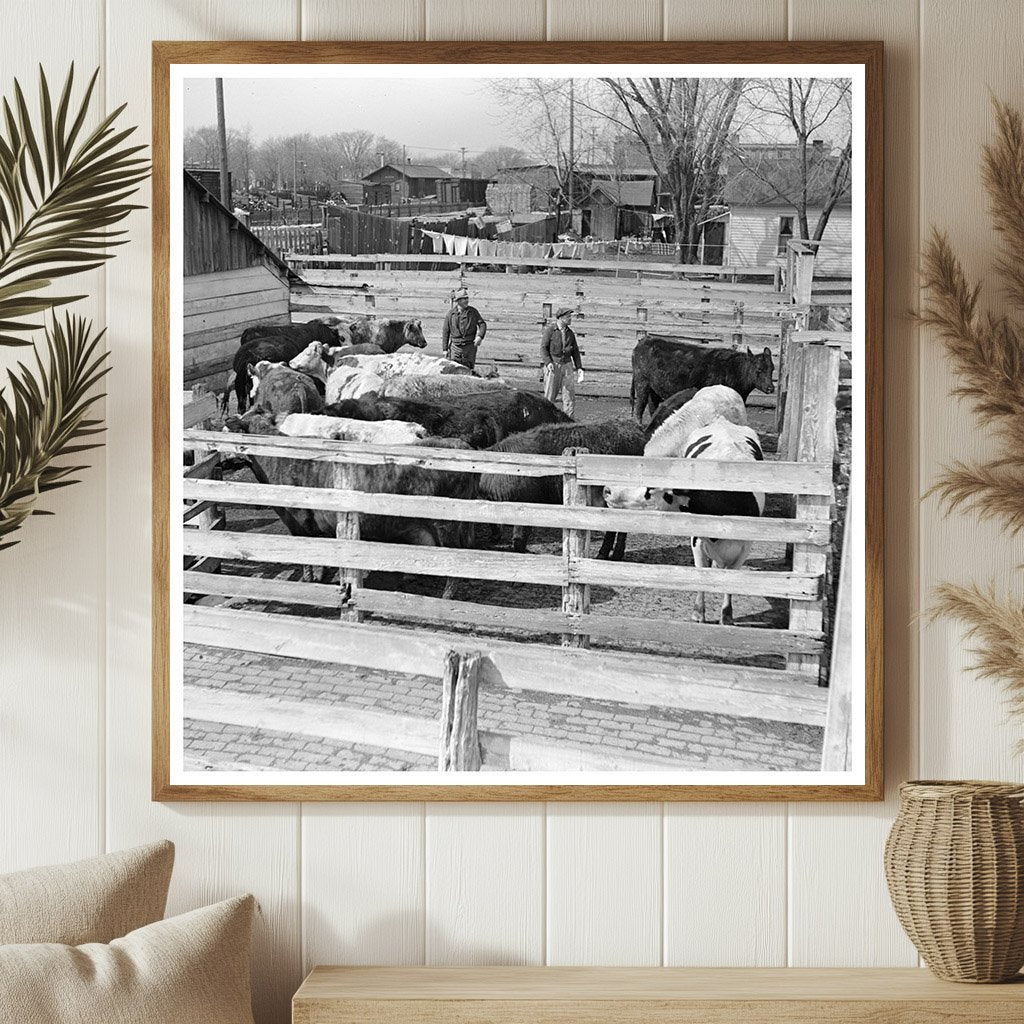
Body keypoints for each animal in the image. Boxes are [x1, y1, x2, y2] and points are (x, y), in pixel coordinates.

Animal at [626, 331, 770, 419]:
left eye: (771, 369)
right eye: (759, 370)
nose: (771, 388)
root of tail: (644, 341)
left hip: (653, 388)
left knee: (652, 407)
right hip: (642, 383)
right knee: (639, 408)